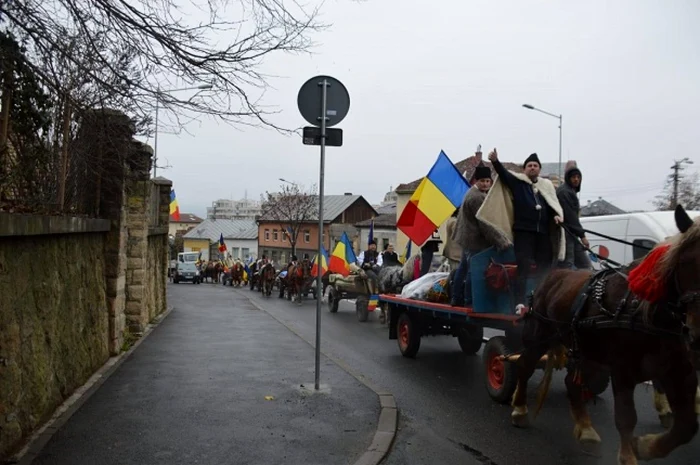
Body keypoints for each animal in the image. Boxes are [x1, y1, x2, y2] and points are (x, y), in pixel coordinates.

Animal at [508, 206, 700, 464]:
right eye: (685, 261)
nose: (695, 333)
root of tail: (551, 276)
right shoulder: (623, 369)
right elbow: (626, 418)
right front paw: (629, 455)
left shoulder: (678, 372)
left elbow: (686, 426)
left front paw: (646, 446)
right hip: (539, 337)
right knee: (524, 366)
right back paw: (519, 409)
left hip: (587, 352)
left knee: (572, 382)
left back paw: (586, 428)